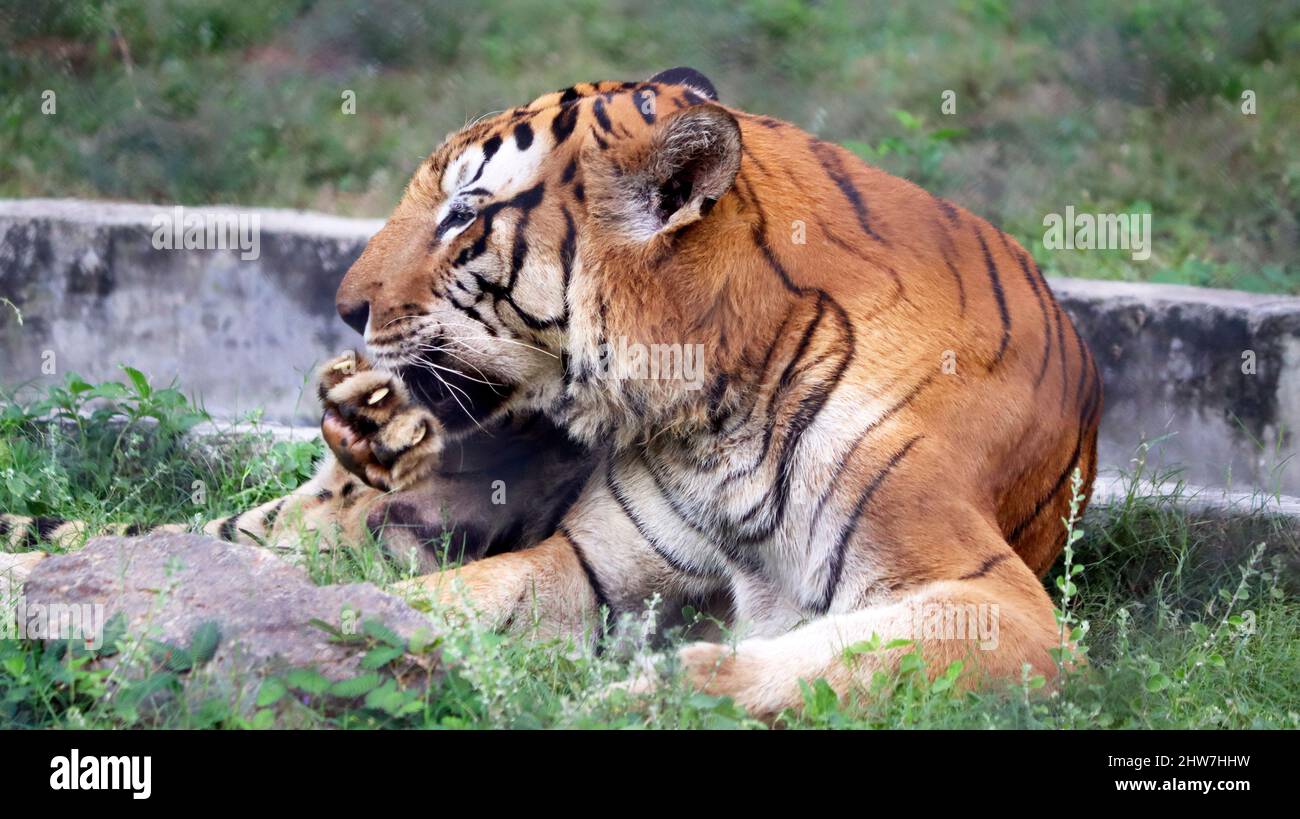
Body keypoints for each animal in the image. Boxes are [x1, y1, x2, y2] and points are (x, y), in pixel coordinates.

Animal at [1, 67, 1101, 717]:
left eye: (462, 213)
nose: (343, 305)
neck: (709, 404)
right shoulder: (595, 566)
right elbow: (417, 604)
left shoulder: (989, 599)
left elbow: (832, 662)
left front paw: (644, 699)